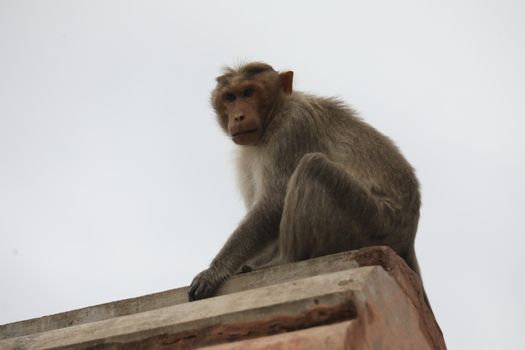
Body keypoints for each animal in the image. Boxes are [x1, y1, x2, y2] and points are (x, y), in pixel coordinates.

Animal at [188, 61, 422, 302]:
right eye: (230, 97)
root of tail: (407, 239)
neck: (275, 114)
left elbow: (274, 202)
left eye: (249, 92)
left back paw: (284, 260)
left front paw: (214, 271)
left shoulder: (293, 127)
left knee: (313, 166)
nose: (238, 116)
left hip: (373, 222)